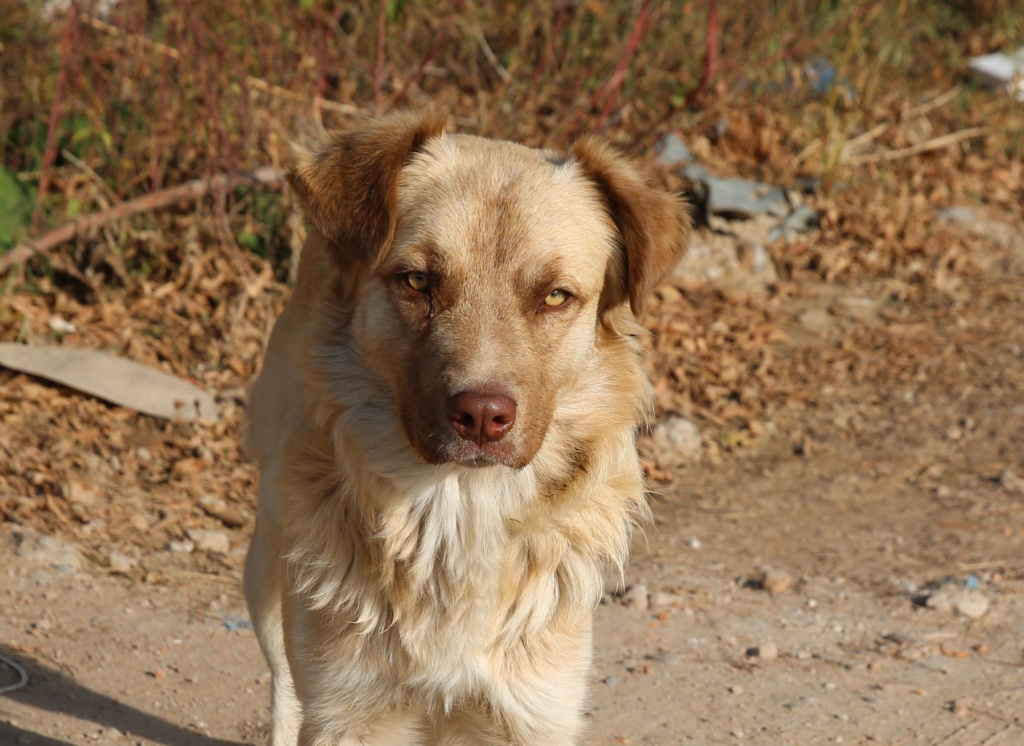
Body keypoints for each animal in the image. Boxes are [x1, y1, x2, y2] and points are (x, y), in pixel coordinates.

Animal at [242, 110, 688, 744]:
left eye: (556, 296)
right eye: (417, 282)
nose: (482, 417)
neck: (459, 505)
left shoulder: (534, 711)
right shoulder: (344, 711)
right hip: (269, 567)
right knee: (281, 682)